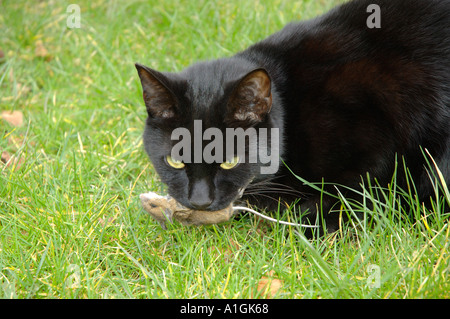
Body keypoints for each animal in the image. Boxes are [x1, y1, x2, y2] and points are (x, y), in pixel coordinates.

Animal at [134, 0, 450, 235]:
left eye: (230, 161)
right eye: (175, 161)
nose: (200, 202)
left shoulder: (380, 129)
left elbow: (355, 191)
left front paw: (308, 219)